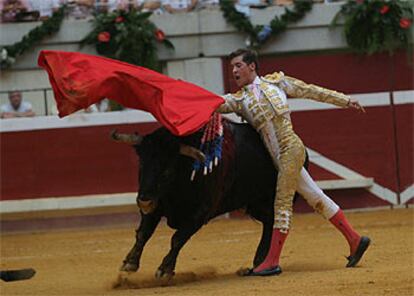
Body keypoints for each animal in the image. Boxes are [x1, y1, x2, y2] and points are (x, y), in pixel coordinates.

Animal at [111, 118, 306, 280]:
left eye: (167, 170)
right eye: (142, 164)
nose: (144, 201)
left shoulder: (200, 213)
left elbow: (177, 238)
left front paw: (165, 269)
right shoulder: (156, 206)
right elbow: (143, 233)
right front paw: (130, 262)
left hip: (272, 199)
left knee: (274, 222)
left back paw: (262, 263)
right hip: (255, 205)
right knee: (268, 222)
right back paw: (259, 261)